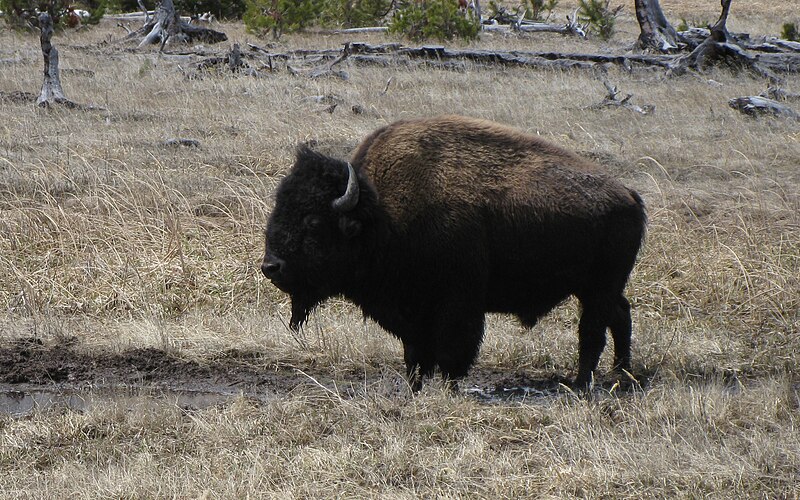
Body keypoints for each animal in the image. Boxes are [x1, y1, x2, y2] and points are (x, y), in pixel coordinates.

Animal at [266, 115, 648, 388]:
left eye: (313, 221)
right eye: (279, 208)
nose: (271, 266)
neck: (381, 214)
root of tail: (628, 194)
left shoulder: (457, 304)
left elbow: (451, 353)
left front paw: (448, 388)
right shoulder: (411, 312)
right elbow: (415, 355)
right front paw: (415, 387)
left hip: (598, 289)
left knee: (593, 332)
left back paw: (582, 384)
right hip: (599, 288)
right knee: (621, 315)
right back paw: (621, 374)